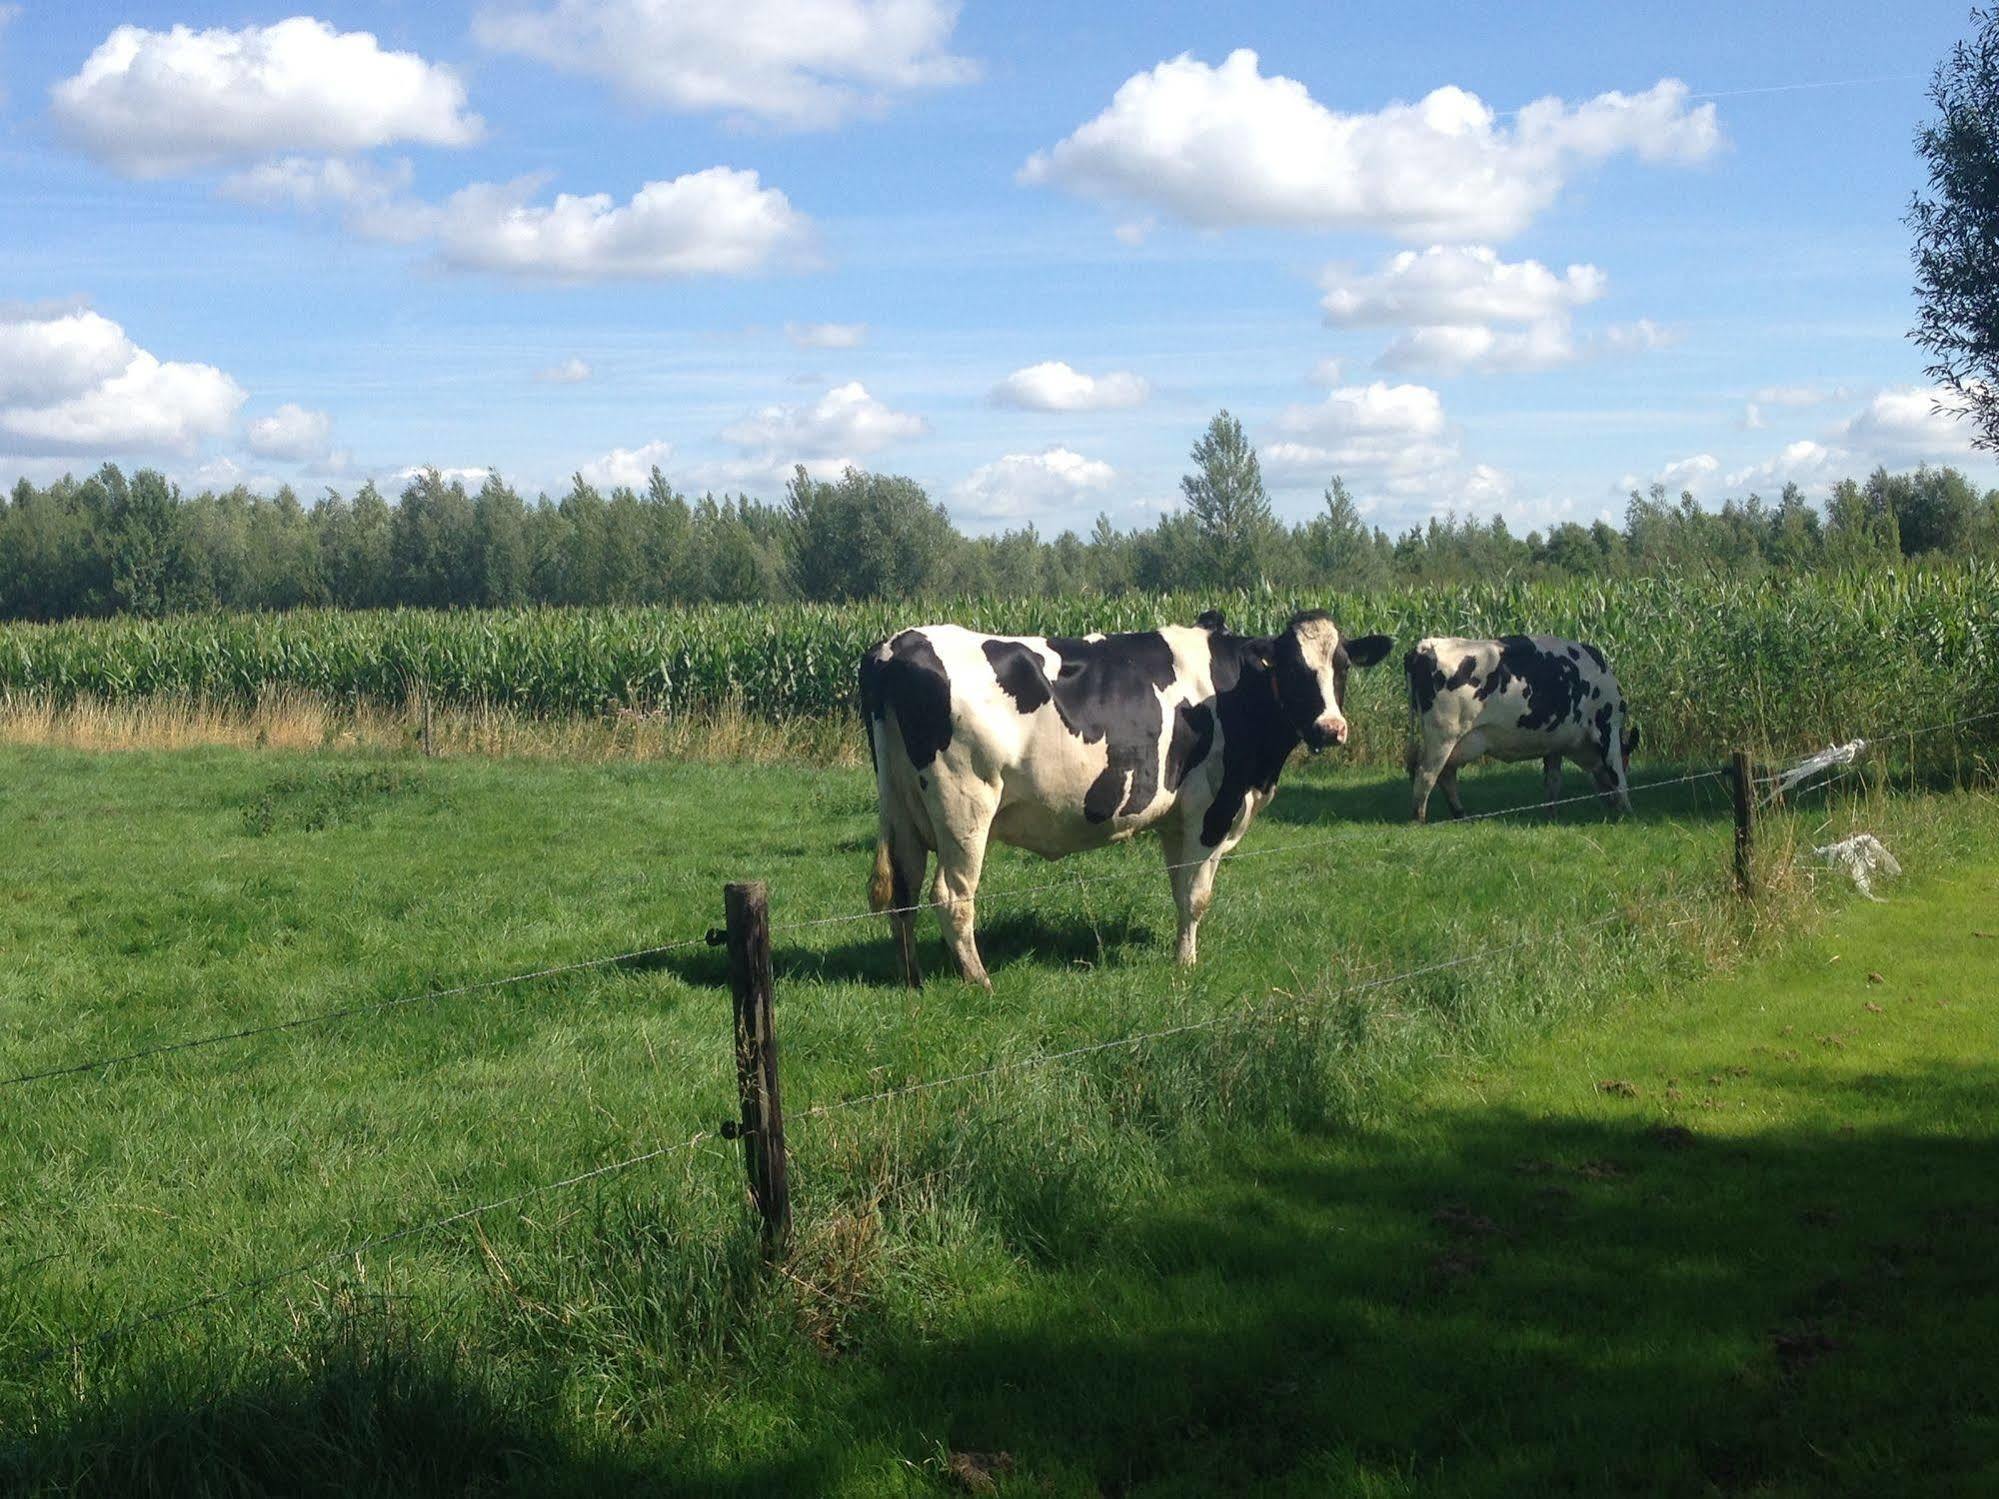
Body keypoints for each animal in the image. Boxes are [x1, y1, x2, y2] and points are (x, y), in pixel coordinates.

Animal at [859, 611, 1391, 987]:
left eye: (1342, 667)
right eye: (1295, 669)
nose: (1331, 729)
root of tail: (897, 644)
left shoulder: (1177, 818)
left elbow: (1179, 889)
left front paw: (1180, 953)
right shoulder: (1210, 809)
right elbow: (1197, 896)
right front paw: (1187, 965)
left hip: (902, 807)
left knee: (903, 891)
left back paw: (912, 979)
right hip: (964, 803)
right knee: (951, 896)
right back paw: (979, 980)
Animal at [1407, 631, 1639, 823]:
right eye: (1627, 760)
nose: (1612, 806)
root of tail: (1427, 645)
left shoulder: (1554, 744)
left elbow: (1553, 782)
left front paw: (1552, 816)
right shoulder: (1608, 726)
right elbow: (1617, 774)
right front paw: (1628, 810)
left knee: (1445, 774)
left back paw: (1460, 814)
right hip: (1443, 736)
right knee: (1426, 774)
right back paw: (1419, 819)